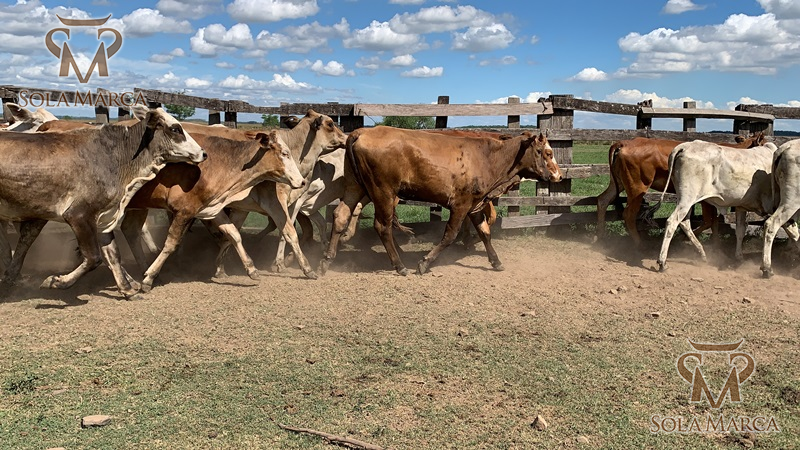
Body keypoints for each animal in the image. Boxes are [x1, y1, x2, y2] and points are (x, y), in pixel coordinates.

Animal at [0, 108, 206, 298]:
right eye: (175, 128)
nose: (203, 153)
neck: (116, 157)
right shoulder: (79, 215)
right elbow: (93, 258)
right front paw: (56, 282)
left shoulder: (104, 218)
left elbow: (113, 254)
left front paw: (127, 290)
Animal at [120, 130, 305, 291]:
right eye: (285, 153)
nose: (302, 181)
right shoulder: (184, 210)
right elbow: (171, 243)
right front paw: (149, 278)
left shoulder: (210, 209)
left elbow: (233, 234)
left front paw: (251, 269)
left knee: (130, 231)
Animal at [319, 127, 562, 276]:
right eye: (547, 153)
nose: (559, 176)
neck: (488, 157)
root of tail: (361, 132)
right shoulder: (461, 205)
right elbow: (449, 235)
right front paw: (424, 263)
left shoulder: (475, 204)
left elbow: (485, 232)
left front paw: (496, 261)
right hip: (383, 192)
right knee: (382, 226)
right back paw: (399, 265)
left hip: (355, 186)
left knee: (340, 216)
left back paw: (327, 260)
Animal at [596, 133, 768, 246]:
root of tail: (625, 143)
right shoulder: (706, 199)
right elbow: (708, 221)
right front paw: (683, 238)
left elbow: (713, 222)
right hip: (637, 188)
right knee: (629, 215)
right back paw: (638, 243)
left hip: (617, 182)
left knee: (603, 200)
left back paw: (600, 237)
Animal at [655, 140, 778, 272]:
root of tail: (684, 146)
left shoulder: (741, 207)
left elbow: (740, 230)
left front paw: (739, 257)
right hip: (687, 198)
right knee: (672, 222)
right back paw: (662, 262)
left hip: (684, 199)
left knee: (684, 222)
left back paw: (703, 254)